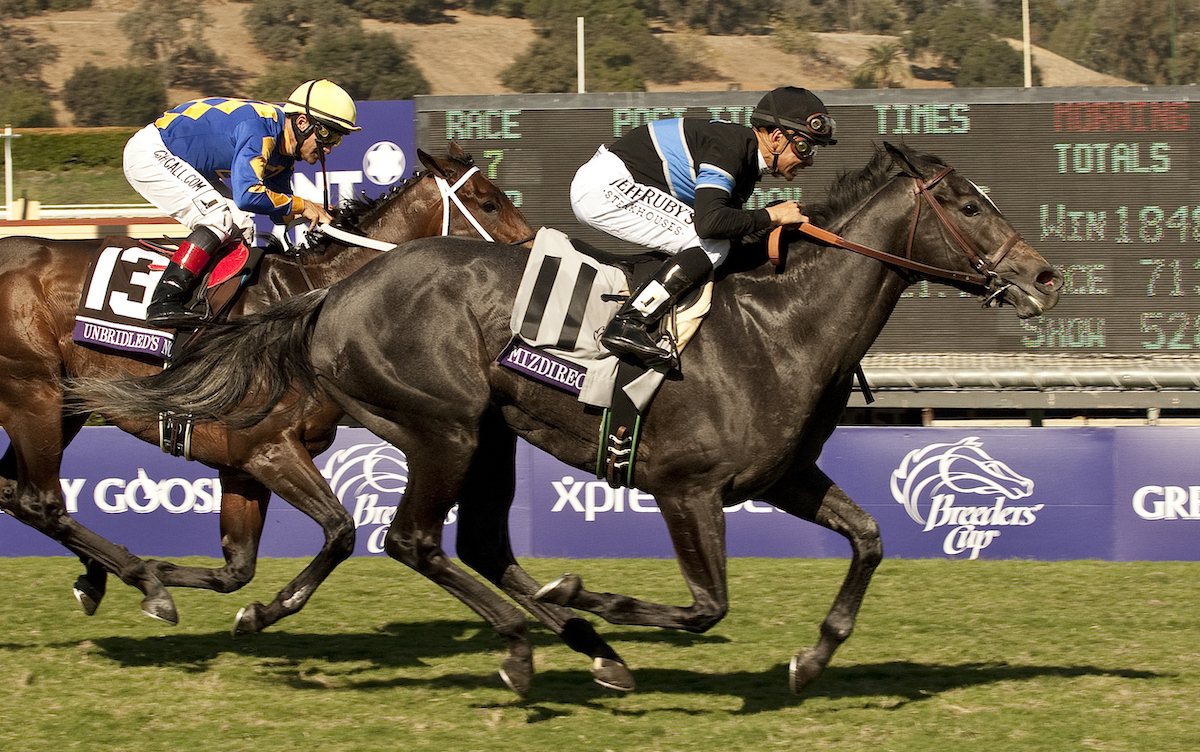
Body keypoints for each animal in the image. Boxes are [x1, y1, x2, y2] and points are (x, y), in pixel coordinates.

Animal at [0, 143, 535, 628]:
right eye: (488, 202)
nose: (532, 260)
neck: (311, 302)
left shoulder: (241, 467)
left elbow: (237, 569)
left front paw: (240, 604)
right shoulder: (268, 449)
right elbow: (341, 530)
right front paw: (253, 606)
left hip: (63, 403)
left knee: (15, 493)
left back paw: (100, 575)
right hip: (33, 394)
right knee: (39, 501)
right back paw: (141, 580)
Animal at [79, 143, 1065, 695]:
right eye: (967, 204)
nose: (1047, 277)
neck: (781, 326)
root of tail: (337, 293)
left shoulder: (782, 476)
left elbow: (867, 539)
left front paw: (812, 660)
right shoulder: (686, 488)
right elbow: (705, 605)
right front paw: (588, 597)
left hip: (488, 436)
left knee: (475, 546)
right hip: (444, 426)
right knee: (412, 541)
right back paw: (529, 641)